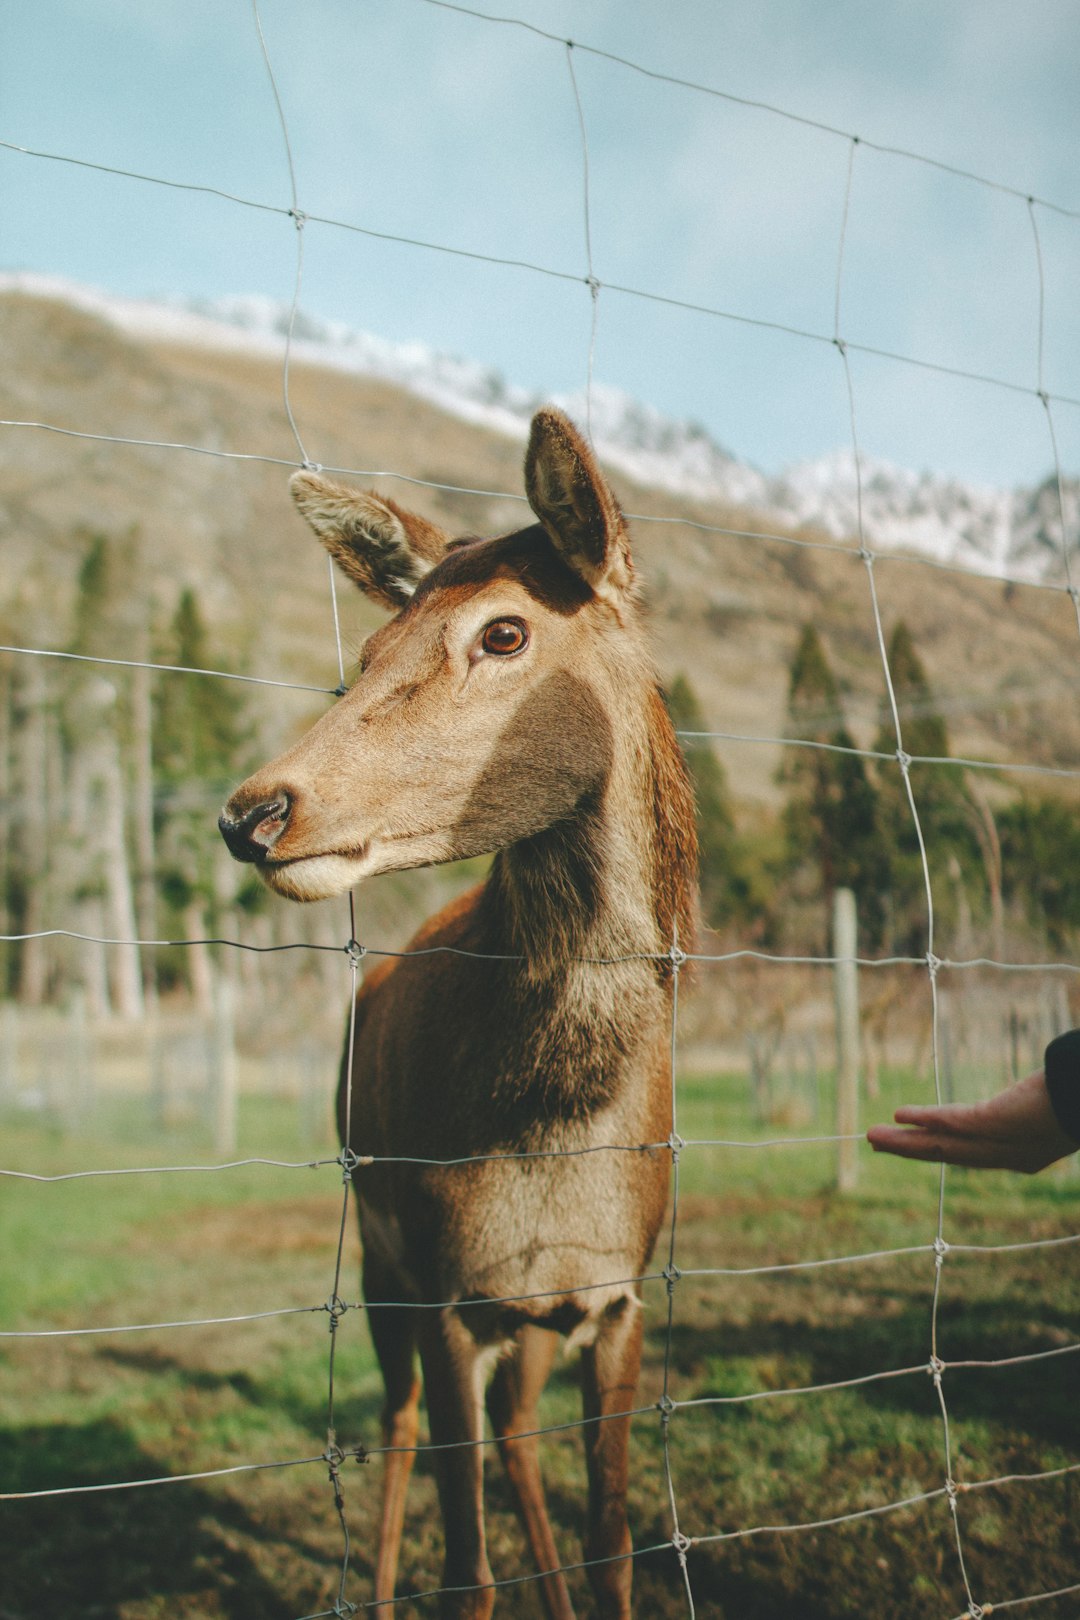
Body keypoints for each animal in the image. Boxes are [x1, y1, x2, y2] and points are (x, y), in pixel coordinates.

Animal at [216, 408, 702, 1620]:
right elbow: (466, 1573)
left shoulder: (614, 1299)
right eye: (367, 656)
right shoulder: (444, 1290)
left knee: (516, 1432)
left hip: (520, 1324)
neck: (554, 1130)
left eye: (504, 634)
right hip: (377, 1257)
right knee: (390, 1426)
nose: (253, 812)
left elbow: (617, 1546)